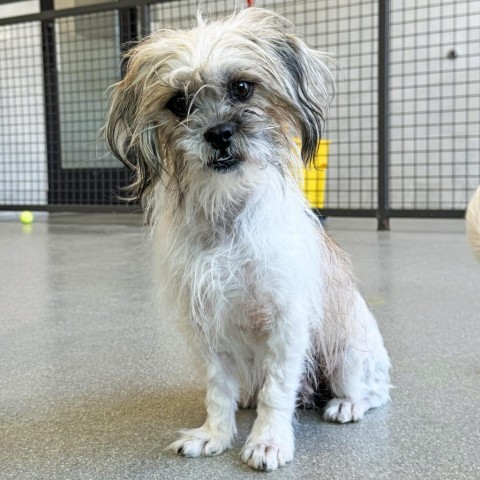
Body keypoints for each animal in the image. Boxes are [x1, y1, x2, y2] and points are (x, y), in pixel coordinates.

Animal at [104, 6, 390, 472]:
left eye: (241, 87)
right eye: (178, 102)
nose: (219, 133)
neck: (227, 213)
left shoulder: (286, 321)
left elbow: (277, 391)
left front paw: (268, 442)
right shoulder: (205, 326)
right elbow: (217, 390)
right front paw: (214, 435)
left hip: (347, 352)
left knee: (373, 392)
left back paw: (347, 404)